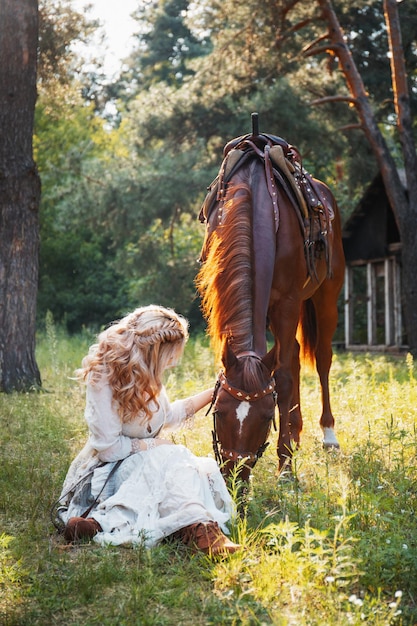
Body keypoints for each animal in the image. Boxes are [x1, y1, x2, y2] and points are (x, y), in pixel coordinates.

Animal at [195, 124, 344, 480]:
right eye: (218, 411)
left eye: (265, 416)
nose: (235, 476)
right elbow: (284, 369)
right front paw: (289, 447)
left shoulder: (286, 304)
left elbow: (286, 378)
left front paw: (286, 467)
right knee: (293, 356)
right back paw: (298, 432)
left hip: (325, 296)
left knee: (321, 358)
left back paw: (328, 435)